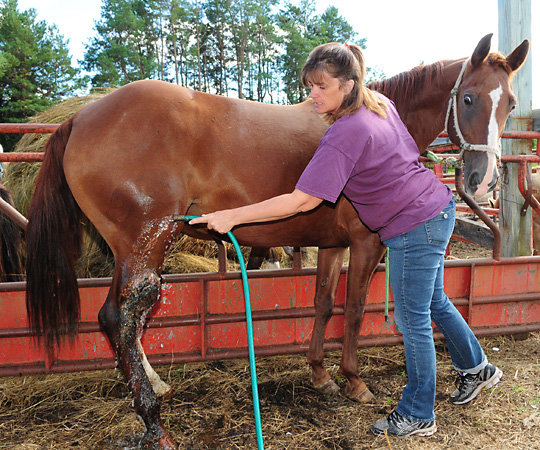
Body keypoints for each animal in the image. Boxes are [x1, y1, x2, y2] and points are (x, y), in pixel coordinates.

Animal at [25, 33, 528, 448]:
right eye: (468, 98)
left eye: (510, 103)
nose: (483, 180)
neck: (362, 114)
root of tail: (80, 118)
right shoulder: (365, 243)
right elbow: (354, 308)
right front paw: (353, 380)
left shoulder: (331, 244)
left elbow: (323, 303)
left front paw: (321, 375)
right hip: (145, 245)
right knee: (124, 316)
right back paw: (154, 422)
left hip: (129, 249)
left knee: (118, 318)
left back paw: (153, 390)